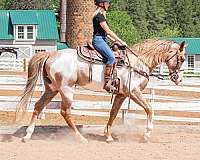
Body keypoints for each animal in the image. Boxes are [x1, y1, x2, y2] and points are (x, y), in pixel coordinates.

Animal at [14, 38, 187, 142]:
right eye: (182, 59)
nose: (179, 79)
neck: (137, 63)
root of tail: (51, 54)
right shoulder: (134, 92)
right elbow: (150, 109)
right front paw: (147, 134)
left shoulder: (121, 94)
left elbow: (113, 113)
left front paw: (108, 135)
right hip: (66, 89)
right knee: (65, 112)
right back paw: (80, 138)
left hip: (52, 89)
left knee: (38, 106)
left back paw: (27, 135)